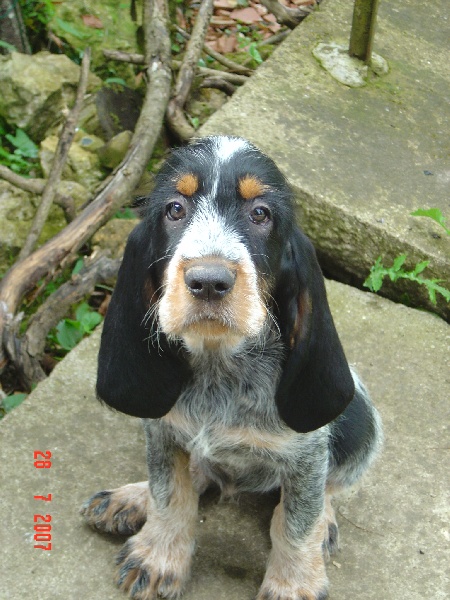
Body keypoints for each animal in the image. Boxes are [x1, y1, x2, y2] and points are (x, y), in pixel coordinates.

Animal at [80, 136, 380, 600]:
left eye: (260, 214)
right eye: (174, 209)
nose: (208, 282)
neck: (219, 364)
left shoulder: (308, 456)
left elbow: (298, 523)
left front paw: (293, 583)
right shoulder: (161, 430)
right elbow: (170, 494)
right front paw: (160, 555)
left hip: (362, 420)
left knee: (330, 487)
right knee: (196, 470)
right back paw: (133, 498)